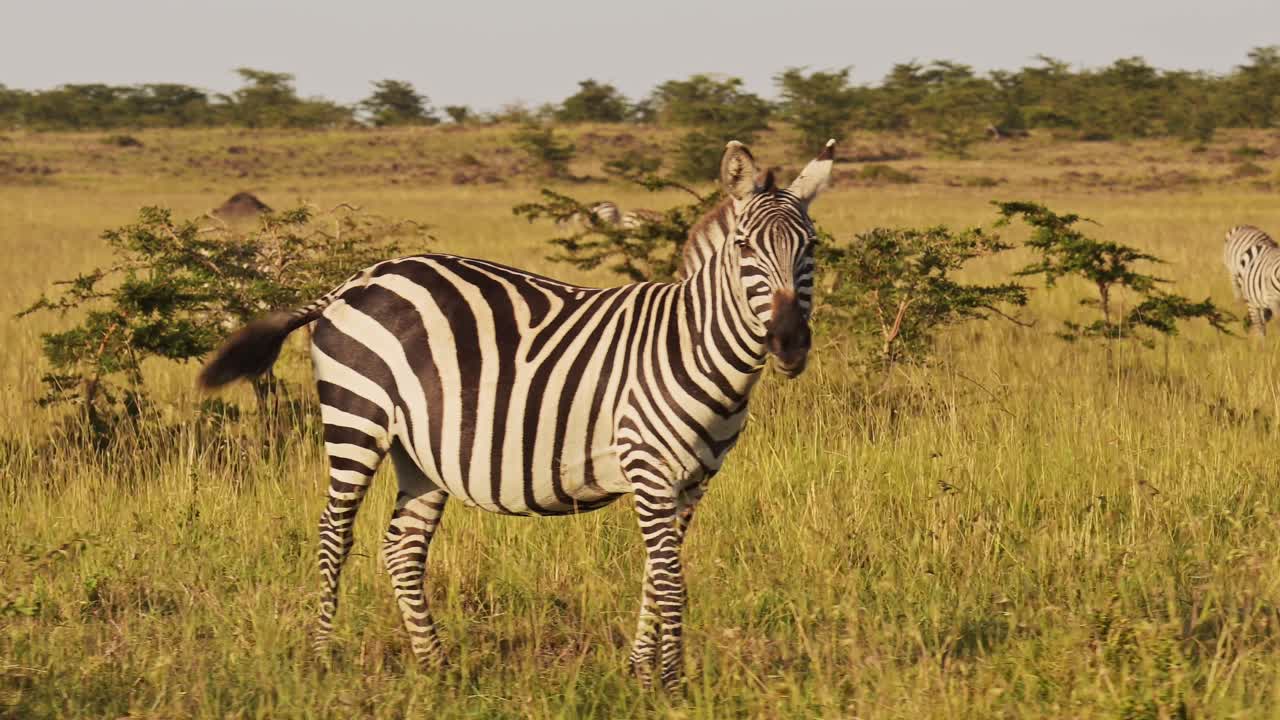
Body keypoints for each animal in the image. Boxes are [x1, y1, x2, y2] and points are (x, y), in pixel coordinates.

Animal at [198, 138, 835, 689]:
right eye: (744, 248)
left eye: (812, 249)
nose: (789, 343)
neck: (693, 345)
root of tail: (353, 281)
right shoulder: (649, 468)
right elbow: (672, 584)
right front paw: (673, 687)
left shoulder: (692, 482)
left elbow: (658, 578)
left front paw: (640, 673)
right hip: (357, 418)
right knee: (335, 533)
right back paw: (321, 657)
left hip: (419, 448)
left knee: (402, 547)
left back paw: (436, 666)